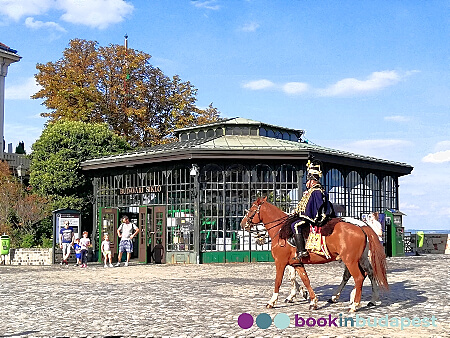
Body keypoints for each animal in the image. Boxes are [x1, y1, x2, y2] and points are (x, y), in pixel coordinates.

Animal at [241, 197, 388, 312]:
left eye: (252, 210)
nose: (243, 224)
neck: (281, 230)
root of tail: (361, 227)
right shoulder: (297, 263)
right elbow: (305, 280)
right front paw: (312, 300)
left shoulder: (280, 262)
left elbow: (278, 281)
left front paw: (273, 301)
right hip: (359, 259)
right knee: (367, 273)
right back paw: (368, 299)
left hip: (350, 260)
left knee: (358, 277)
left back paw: (353, 303)